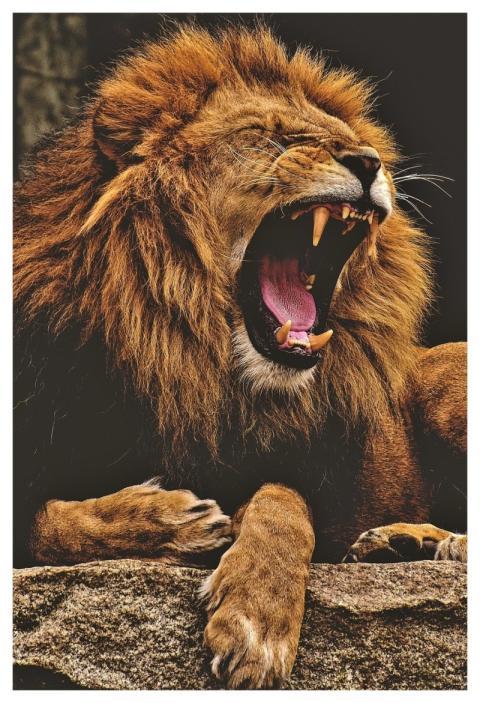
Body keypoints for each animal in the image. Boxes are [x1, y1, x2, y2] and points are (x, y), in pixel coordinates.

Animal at [14, 25, 466, 689]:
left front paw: (256, 621)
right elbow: (47, 524)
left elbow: (282, 499)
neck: (192, 362)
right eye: (269, 135)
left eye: (352, 141)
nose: (369, 162)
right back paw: (397, 545)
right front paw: (172, 521)